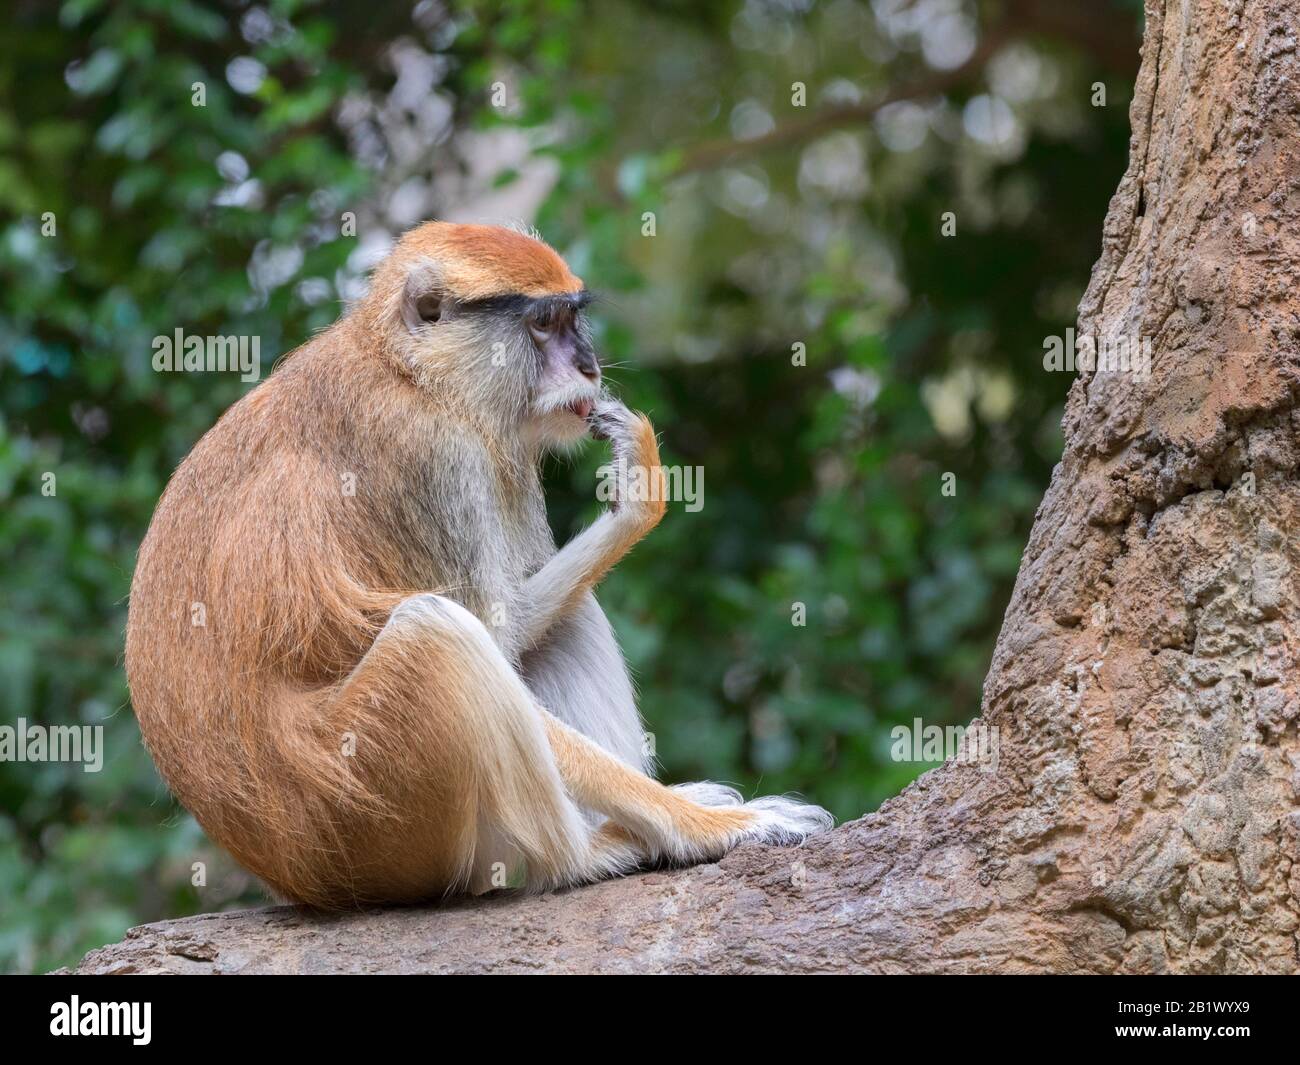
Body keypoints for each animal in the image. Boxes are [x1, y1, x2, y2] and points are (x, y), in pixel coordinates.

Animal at [125, 221, 832, 906]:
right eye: (542, 324)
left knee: (565, 618)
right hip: (372, 819)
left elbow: (518, 626)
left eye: (572, 320)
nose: (588, 367)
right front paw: (719, 827)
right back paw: (583, 856)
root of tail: (294, 877)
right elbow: (490, 638)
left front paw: (637, 488)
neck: (410, 370)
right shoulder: (434, 458)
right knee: (436, 634)